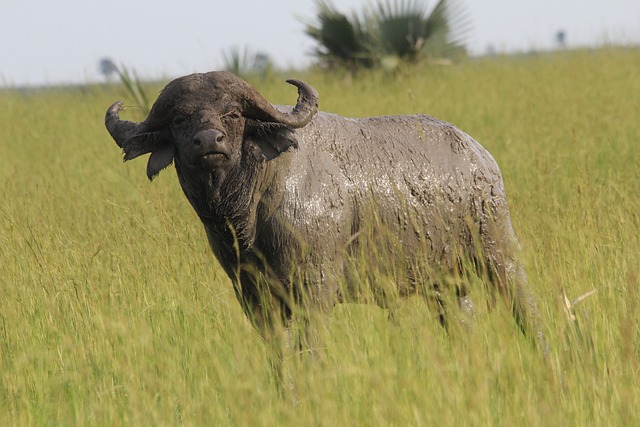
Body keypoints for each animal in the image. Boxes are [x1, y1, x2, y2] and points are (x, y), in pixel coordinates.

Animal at [104, 72, 544, 354]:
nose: (209, 141)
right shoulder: (252, 295)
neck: (249, 210)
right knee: (462, 324)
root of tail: (480, 156)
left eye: (233, 113)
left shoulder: (314, 288)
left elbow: (309, 351)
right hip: (445, 283)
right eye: (180, 118)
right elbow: (280, 358)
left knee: (527, 311)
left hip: (499, 252)